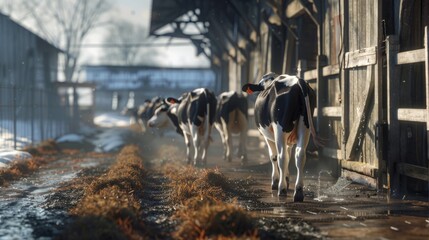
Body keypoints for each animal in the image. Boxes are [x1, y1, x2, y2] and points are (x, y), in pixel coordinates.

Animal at [241, 72, 320, 202]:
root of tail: (298, 81)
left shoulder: (267, 137)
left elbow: (274, 156)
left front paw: (276, 181)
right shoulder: (290, 140)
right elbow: (289, 154)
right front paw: (287, 179)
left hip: (280, 129)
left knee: (281, 156)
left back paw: (281, 189)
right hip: (305, 127)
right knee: (300, 156)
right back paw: (298, 192)